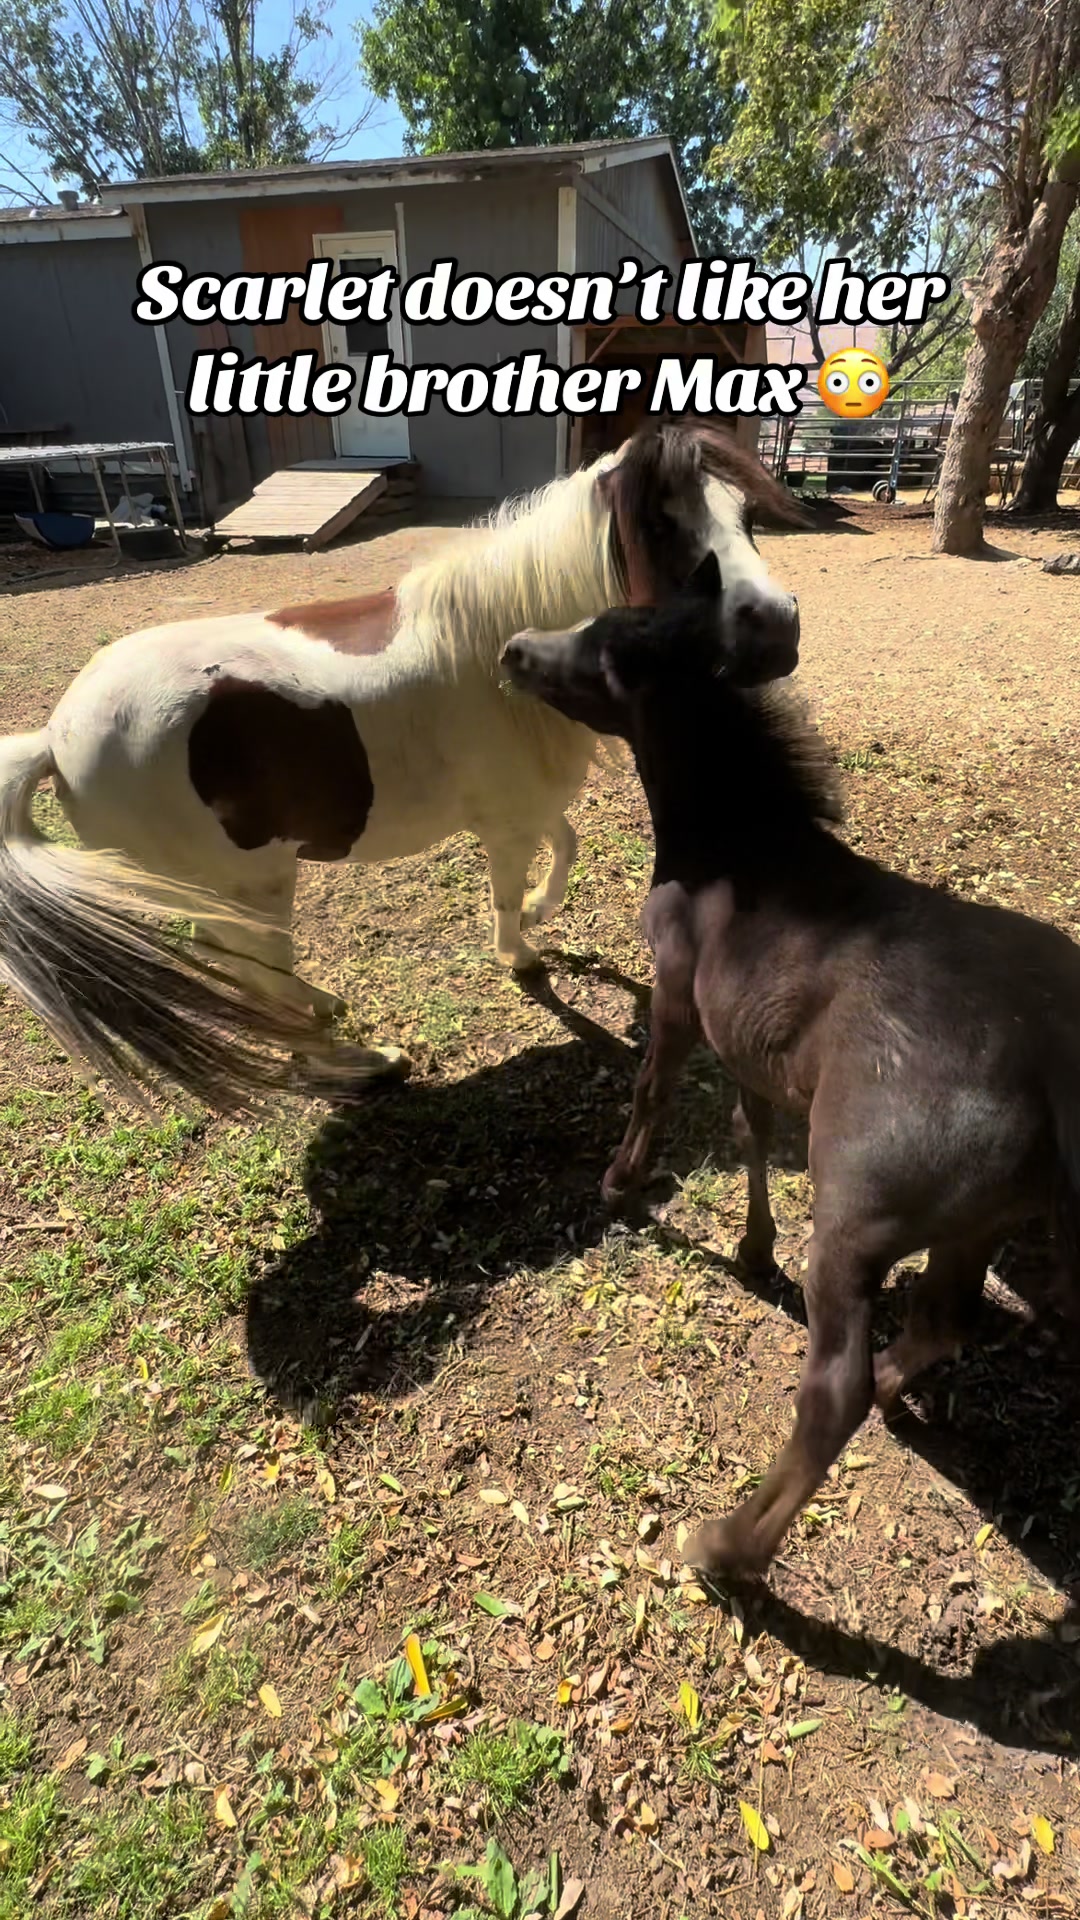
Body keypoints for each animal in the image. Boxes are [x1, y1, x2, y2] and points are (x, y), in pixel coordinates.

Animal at [0, 422, 802, 1113]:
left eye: (747, 518)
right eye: (662, 525)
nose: (777, 632)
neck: (494, 651)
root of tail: (54, 737)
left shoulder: (522, 806)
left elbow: (566, 843)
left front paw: (541, 912)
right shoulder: (505, 824)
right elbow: (508, 893)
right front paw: (519, 953)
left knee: (230, 963)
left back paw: (321, 1011)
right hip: (256, 885)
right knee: (257, 975)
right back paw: (362, 1063)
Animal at [501, 565, 1080, 1584]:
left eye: (602, 653)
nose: (514, 651)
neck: (739, 849)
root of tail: (1055, 1068)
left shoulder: (678, 993)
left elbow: (653, 1087)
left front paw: (619, 1183)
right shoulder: (756, 1041)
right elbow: (752, 1126)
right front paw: (749, 1247)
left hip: (855, 1221)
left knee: (832, 1389)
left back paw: (724, 1546)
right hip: (976, 1223)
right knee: (941, 1323)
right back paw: (890, 1392)